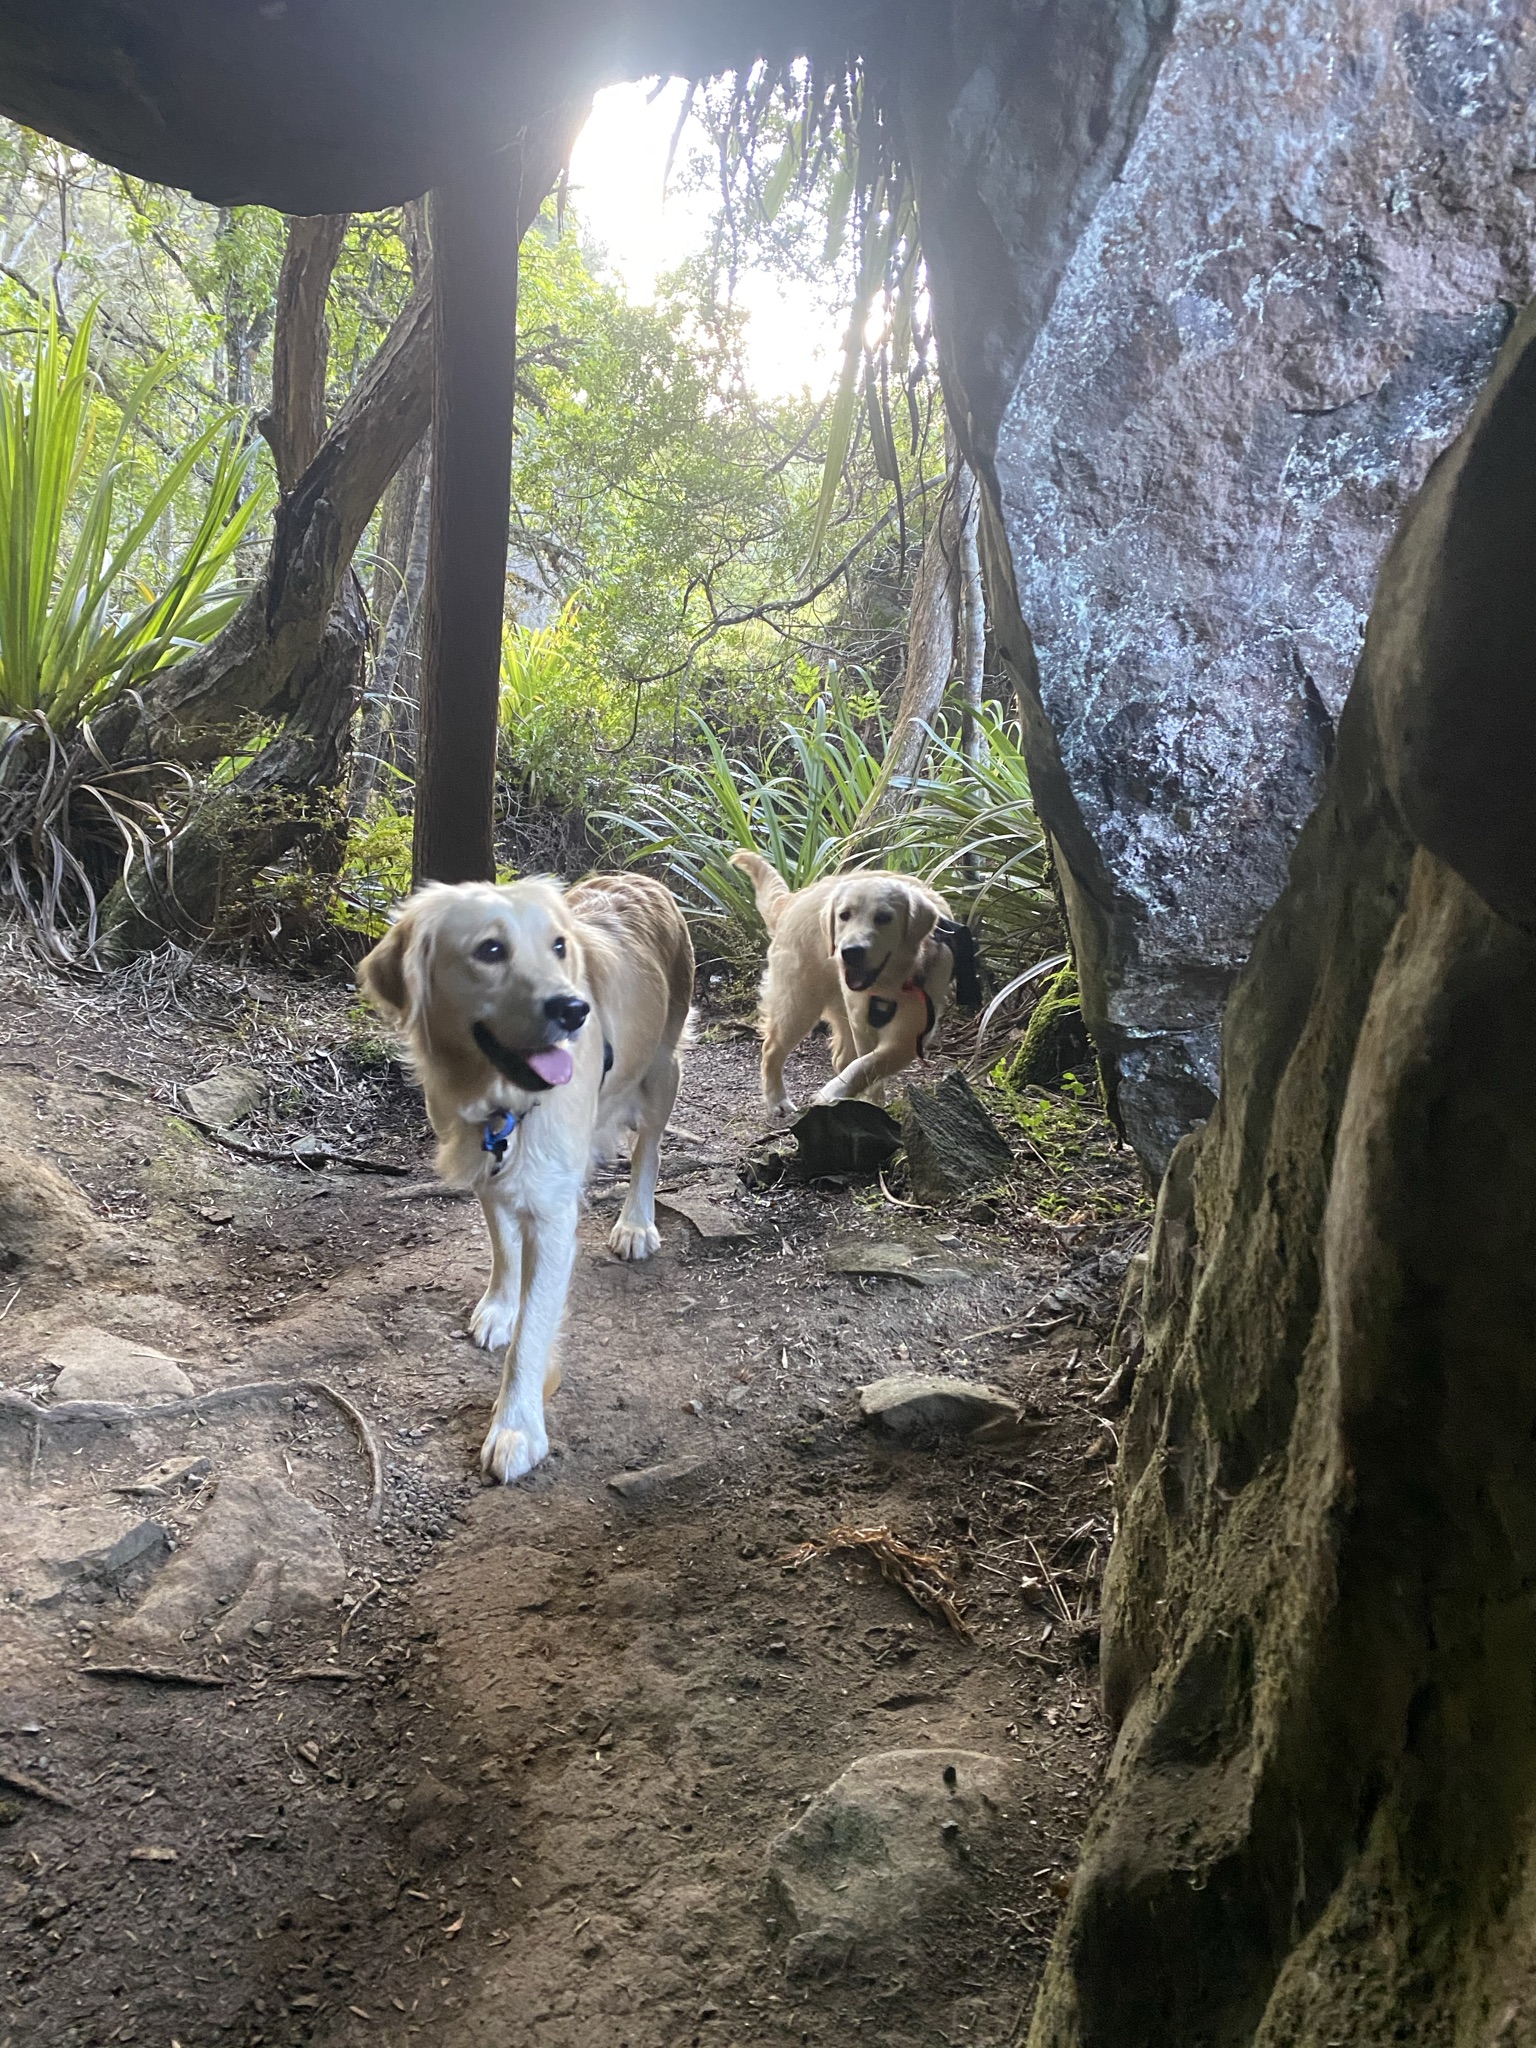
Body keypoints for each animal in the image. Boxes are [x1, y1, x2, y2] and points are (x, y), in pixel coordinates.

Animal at [358, 872, 696, 1482]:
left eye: (559, 946)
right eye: (491, 950)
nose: (574, 1009)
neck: (501, 1098)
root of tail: (642, 877)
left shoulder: (554, 1219)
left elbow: (533, 1335)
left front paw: (516, 1427)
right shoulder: (490, 1170)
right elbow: (503, 1248)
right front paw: (500, 1307)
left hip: (663, 1066)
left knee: (649, 1150)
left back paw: (636, 1222)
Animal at [733, 847, 974, 1114]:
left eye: (884, 917)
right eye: (844, 915)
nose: (850, 952)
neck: (890, 982)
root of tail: (793, 900)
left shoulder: (911, 1031)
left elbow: (871, 1063)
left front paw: (846, 1093)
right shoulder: (862, 1020)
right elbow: (867, 1064)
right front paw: (858, 1096)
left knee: (841, 1058)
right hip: (799, 1002)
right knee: (772, 1049)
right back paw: (777, 1100)